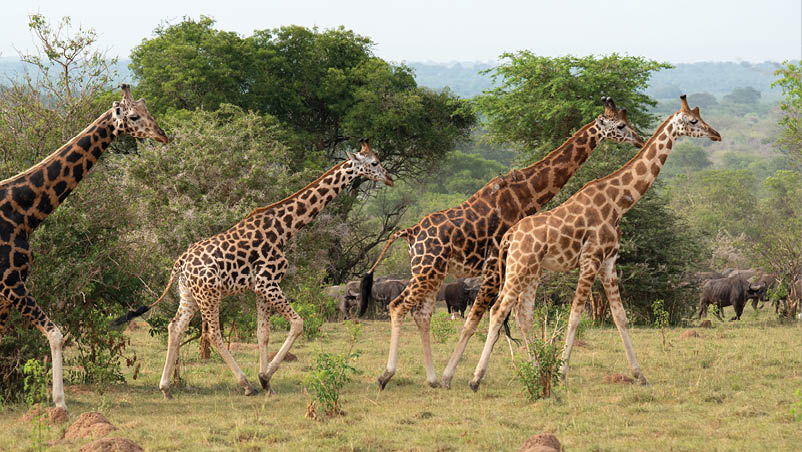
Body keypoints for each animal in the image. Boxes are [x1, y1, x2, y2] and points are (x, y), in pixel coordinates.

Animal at [0, 84, 168, 411]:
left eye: (148, 110)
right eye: (133, 116)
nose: (162, 135)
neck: (23, 213)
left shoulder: (6, 290)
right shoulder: (10, 282)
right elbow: (56, 333)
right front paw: (60, 404)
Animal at [118, 140, 393, 398]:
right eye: (375, 162)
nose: (389, 179)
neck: (285, 228)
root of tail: (180, 263)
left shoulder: (260, 288)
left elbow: (263, 333)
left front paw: (267, 382)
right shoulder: (268, 281)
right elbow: (298, 323)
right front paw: (263, 377)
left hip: (189, 294)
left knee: (175, 327)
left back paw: (166, 388)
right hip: (210, 294)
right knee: (213, 334)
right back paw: (245, 384)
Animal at [360, 98, 646, 390]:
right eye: (620, 125)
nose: (640, 139)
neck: (523, 194)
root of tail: (410, 232)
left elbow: (512, 319)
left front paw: (529, 369)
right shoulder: (496, 267)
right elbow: (478, 320)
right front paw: (457, 376)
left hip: (433, 273)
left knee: (421, 314)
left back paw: (432, 379)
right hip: (426, 271)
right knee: (398, 307)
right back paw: (388, 375)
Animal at [468, 95, 721, 391]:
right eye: (693, 121)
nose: (716, 135)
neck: (618, 203)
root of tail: (509, 237)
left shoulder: (609, 261)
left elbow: (620, 316)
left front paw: (640, 375)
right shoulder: (591, 259)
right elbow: (576, 315)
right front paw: (562, 374)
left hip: (530, 271)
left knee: (521, 314)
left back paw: (531, 369)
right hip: (519, 268)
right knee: (497, 309)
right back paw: (475, 379)